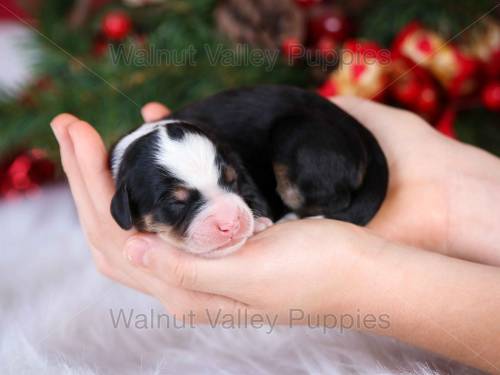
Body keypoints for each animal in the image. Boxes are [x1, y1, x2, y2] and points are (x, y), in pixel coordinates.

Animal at [110, 85, 390, 258]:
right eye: (175, 203)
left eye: (232, 181)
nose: (231, 224)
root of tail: (359, 130)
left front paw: (260, 222)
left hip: (296, 140)